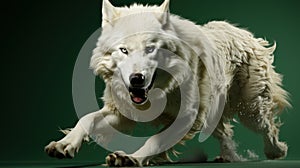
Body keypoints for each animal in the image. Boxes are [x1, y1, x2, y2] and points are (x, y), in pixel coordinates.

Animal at [45, 0, 290, 165]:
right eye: (124, 50)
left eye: (150, 49)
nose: (136, 79)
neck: (160, 91)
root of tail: (243, 32)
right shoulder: (120, 113)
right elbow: (86, 119)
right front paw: (65, 144)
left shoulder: (187, 117)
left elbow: (155, 140)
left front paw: (131, 158)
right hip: (213, 113)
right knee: (225, 132)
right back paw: (228, 157)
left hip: (251, 110)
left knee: (268, 127)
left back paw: (276, 151)